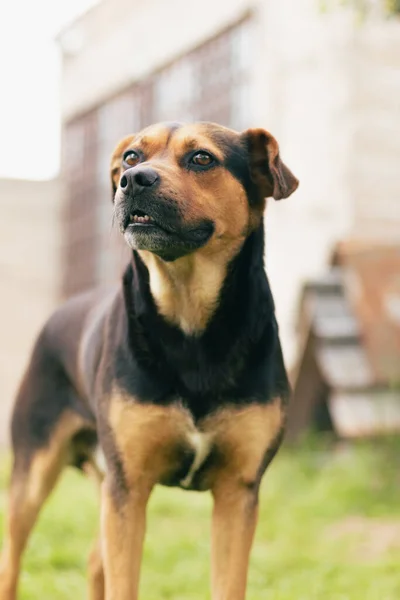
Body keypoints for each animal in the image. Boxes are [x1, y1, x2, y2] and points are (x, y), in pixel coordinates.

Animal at [0, 122, 296, 600]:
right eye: (132, 157)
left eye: (201, 158)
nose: (133, 181)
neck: (190, 321)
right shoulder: (130, 487)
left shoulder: (238, 491)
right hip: (34, 473)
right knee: (11, 561)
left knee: (94, 562)